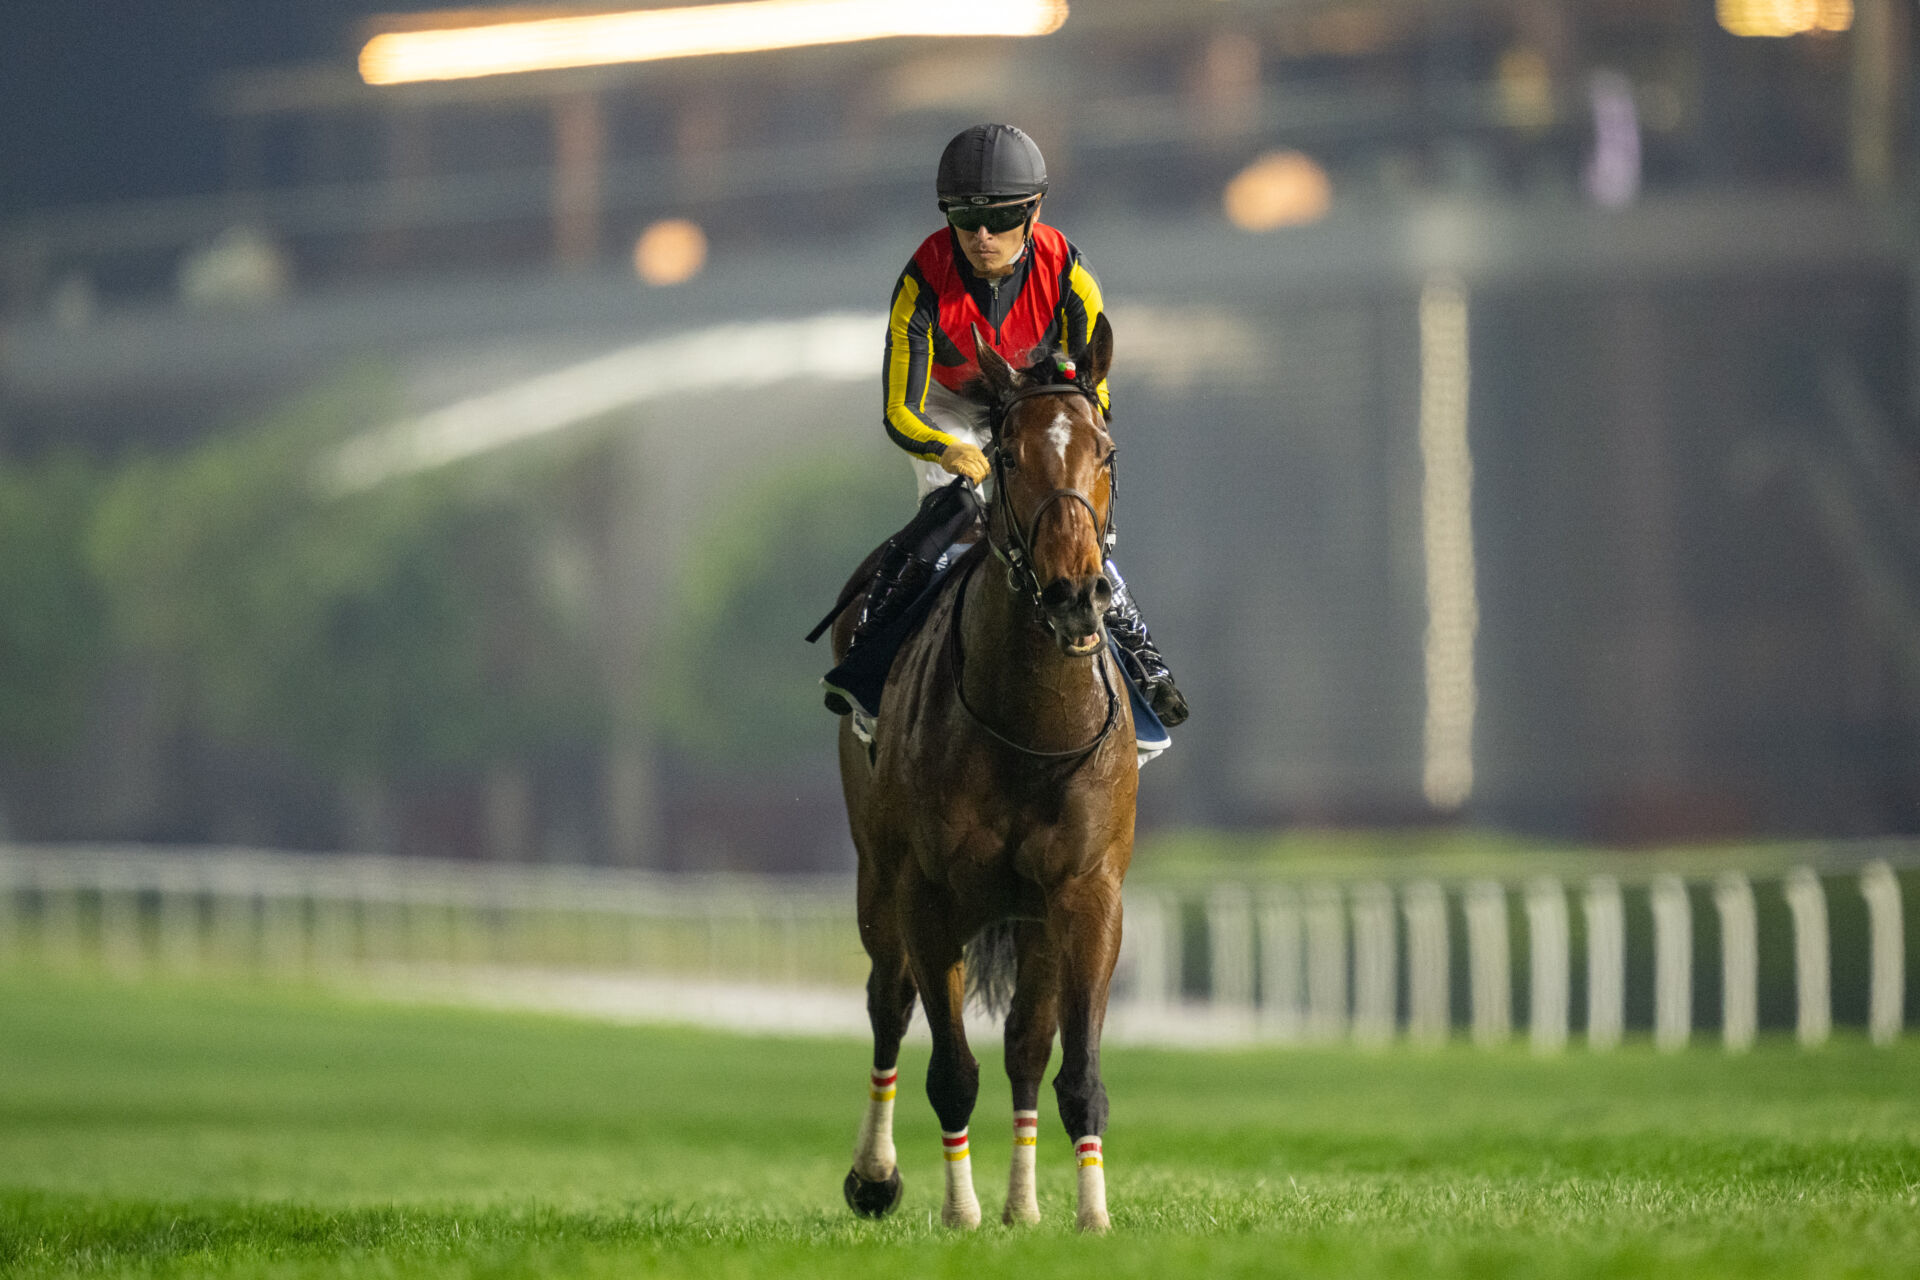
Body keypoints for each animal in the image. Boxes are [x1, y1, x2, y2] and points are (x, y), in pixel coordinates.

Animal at [833, 314, 1128, 1235]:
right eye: (1008, 456)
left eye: (1105, 452)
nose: (1074, 593)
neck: (1029, 727)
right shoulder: (927, 894)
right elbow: (950, 1068)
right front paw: (957, 1213)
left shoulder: (1086, 892)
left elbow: (1072, 1070)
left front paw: (1089, 1218)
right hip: (878, 875)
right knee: (889, 1004)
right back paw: (876, 1176)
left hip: (1031, 916)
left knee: (1027, 1045)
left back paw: (1024, 1206)